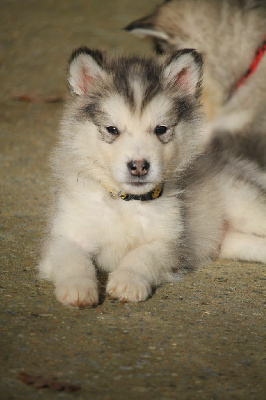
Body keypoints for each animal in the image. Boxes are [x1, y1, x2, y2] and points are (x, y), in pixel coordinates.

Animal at [39, 48, 266, 308]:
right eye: (112, 129)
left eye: (161, 129)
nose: (139, 166)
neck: (126, 203)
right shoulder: (64, 236)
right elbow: (74, 260)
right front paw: (77, 288)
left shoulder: (169, 242)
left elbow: (141, 255)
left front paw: (127, 281)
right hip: (233, 242)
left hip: (247, 207)